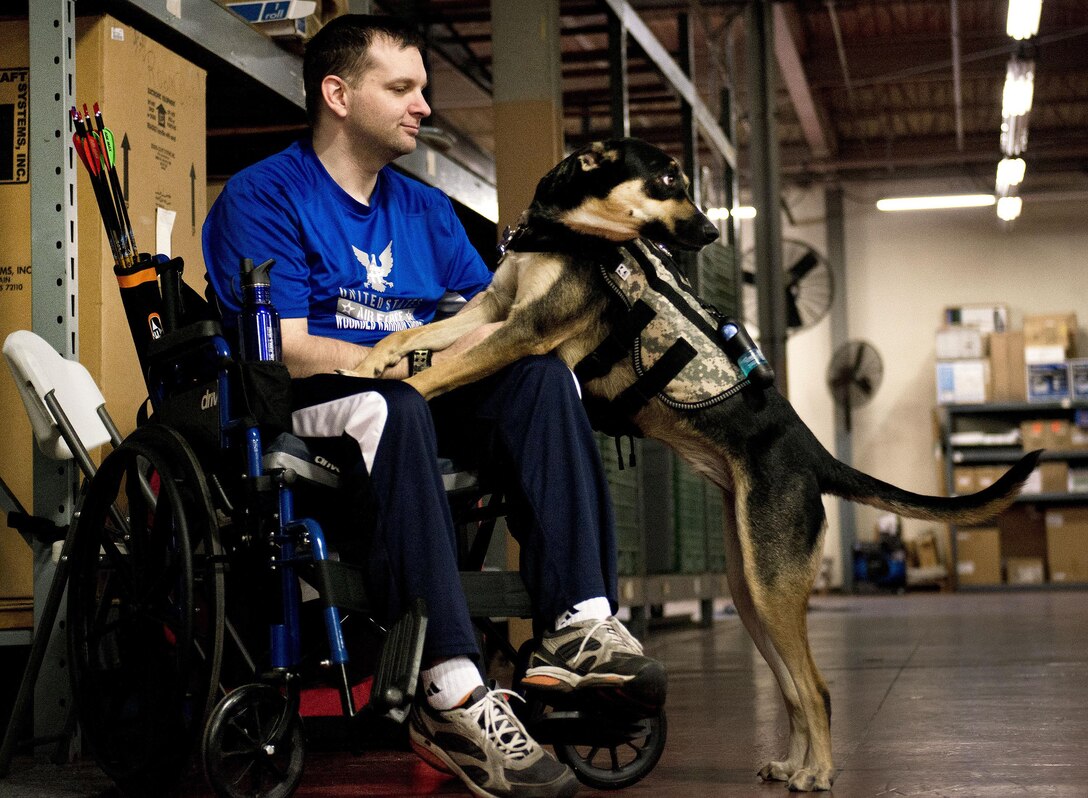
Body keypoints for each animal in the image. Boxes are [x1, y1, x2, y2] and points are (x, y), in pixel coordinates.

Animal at [343, 138, 1040, 792]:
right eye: (668, 179)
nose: (709, 231)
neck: (568, 230)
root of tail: (815, 454)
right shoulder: (491, 309)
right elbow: (413, 337)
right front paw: (364, 365)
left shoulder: (526, 332)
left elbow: (446, 369)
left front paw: (391, 390)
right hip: (751, 589)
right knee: (792, 688)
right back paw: (792, 764)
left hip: (773, 589)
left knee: (816, 689)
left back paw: (818, 773)